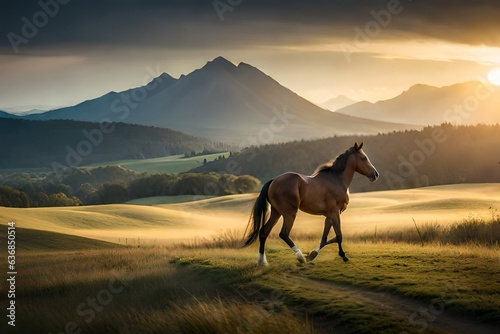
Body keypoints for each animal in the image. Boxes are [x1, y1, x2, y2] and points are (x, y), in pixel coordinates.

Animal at [243, 142, 378, 264]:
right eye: (364, 158)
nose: (375, 174)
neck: (337, 180)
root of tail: (273, 181)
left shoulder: (330, 215)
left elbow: (324, 238)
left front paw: (312, 255)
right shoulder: (335, 212)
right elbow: (339, 236)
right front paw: (342, 255)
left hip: (276, 212)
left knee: (264, 232)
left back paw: (262, 261)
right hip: (290, 213)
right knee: (283, 234)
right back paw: (300, 257)